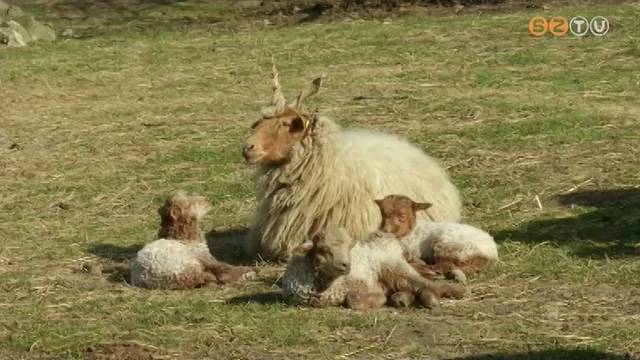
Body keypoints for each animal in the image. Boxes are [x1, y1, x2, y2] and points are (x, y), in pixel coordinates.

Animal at [282, 226, 464, 308]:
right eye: (324, 249)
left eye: (350, 247)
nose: (346, 265)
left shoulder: (363, 283)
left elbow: (353, 299)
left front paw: (379, 299)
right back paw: (403, 299)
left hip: (393, 267)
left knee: (426, 284)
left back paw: (447, 294)